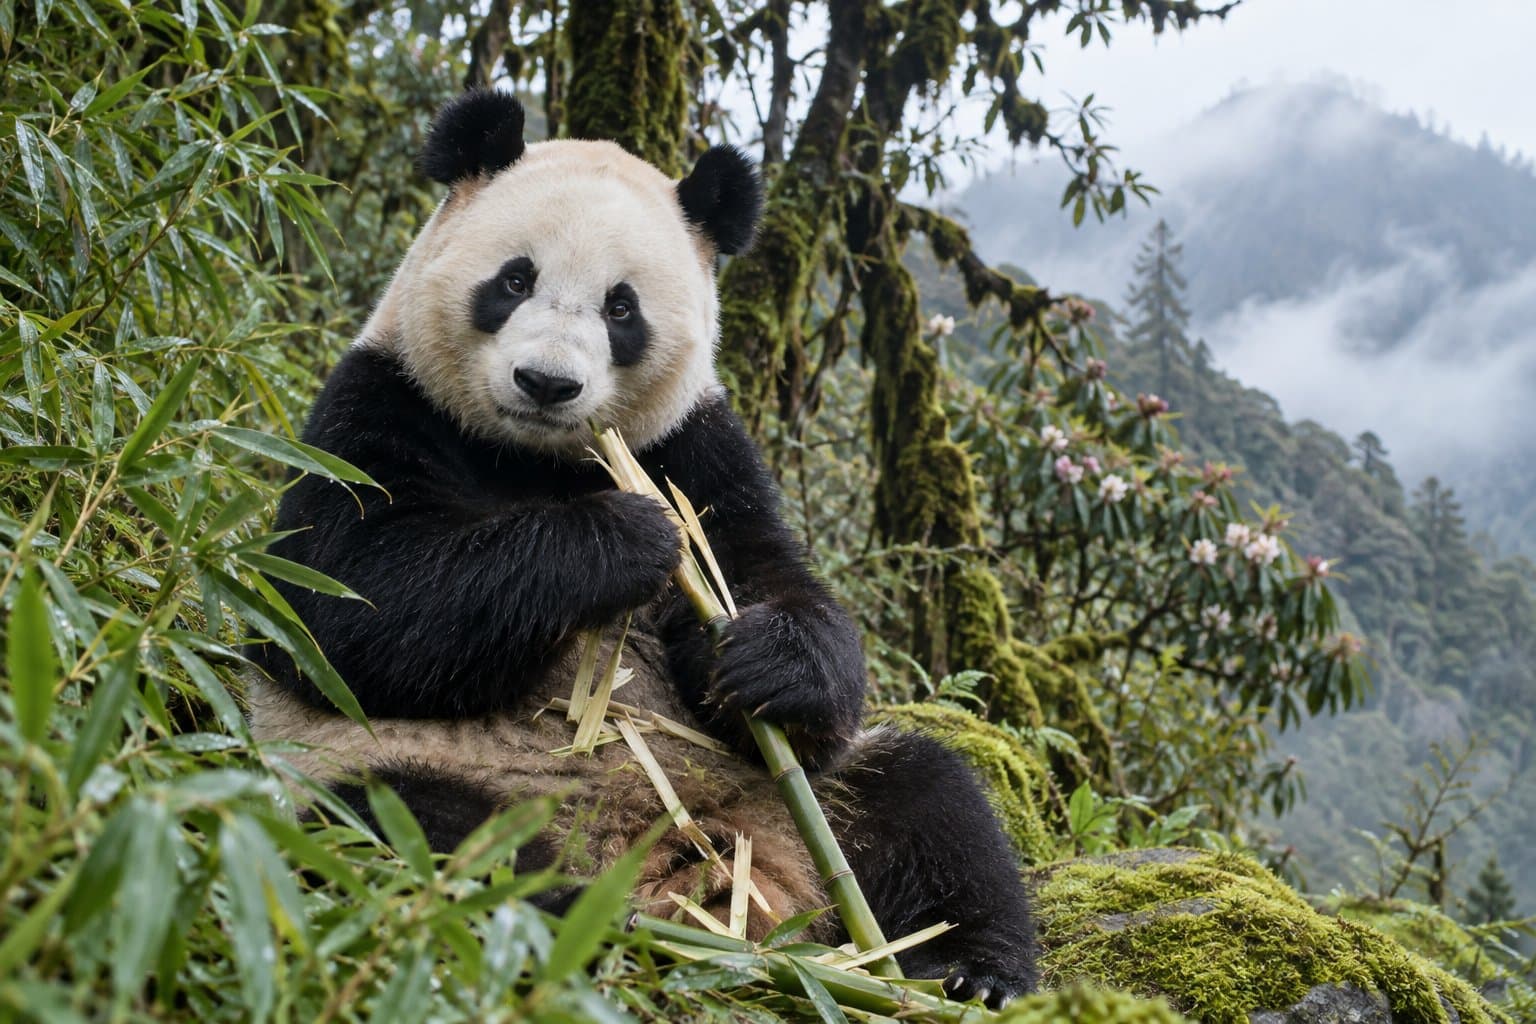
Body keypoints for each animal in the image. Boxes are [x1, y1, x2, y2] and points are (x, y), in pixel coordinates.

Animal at [248, 89, 1037, 1005]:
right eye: (514, 279)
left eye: (620, 308)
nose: (547, 383)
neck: (540, 460)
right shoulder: (379, 404)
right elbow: (348, 603)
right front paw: (629, 540)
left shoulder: (697, 445)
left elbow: (771, 581)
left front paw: (759, 656)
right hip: (404, 772)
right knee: (412, 828)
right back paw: (578, 924)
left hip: (802, 804)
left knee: (926, 802)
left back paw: (971, 972)